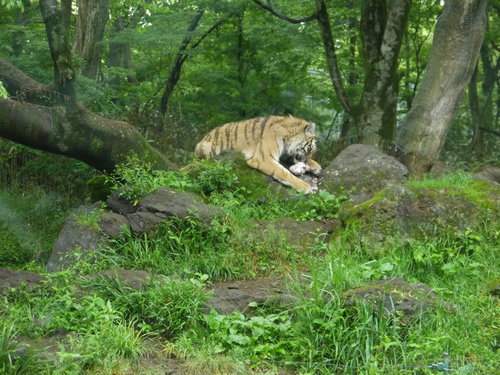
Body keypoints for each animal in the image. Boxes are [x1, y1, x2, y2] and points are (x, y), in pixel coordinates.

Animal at [193, 115, 322, 194]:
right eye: (310, 149)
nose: (306, 161)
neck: (287, 137)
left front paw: (316, 167)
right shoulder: (264, 158)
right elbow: (284, 173)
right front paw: (304, 186)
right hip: (206, 147)